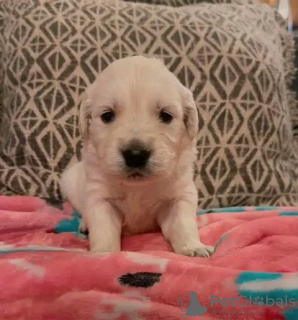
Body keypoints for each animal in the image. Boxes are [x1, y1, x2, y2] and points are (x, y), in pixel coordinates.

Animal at [60, 55, 214, 258]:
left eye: (166, 115)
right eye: (107, 116)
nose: (135, 155)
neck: (137, 187)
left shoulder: (180, 196)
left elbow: (183, 224)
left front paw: (194, 247)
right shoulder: (100, 197)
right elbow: (104, 229)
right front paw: (103, 253)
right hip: (70, 182)